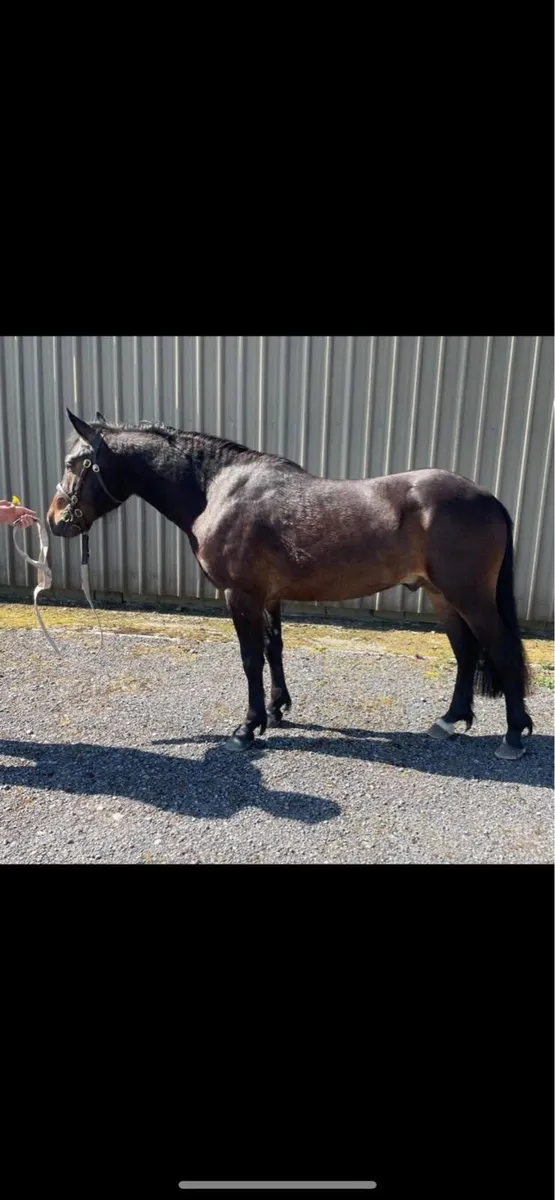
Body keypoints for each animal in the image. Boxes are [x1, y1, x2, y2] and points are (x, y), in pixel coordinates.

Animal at [47, 408, 533, 760]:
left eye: (74, 463)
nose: (54, 519)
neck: (217, 490)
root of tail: (489, 498)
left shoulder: (240, 596)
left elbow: (249, 659)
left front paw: (247, 728)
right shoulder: (269, 597)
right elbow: (273, 649)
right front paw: (277, 710)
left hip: (469, 597)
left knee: (502, 650)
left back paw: (513, 736)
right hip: (442, 597)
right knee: (466, 653)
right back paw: (450, 721)